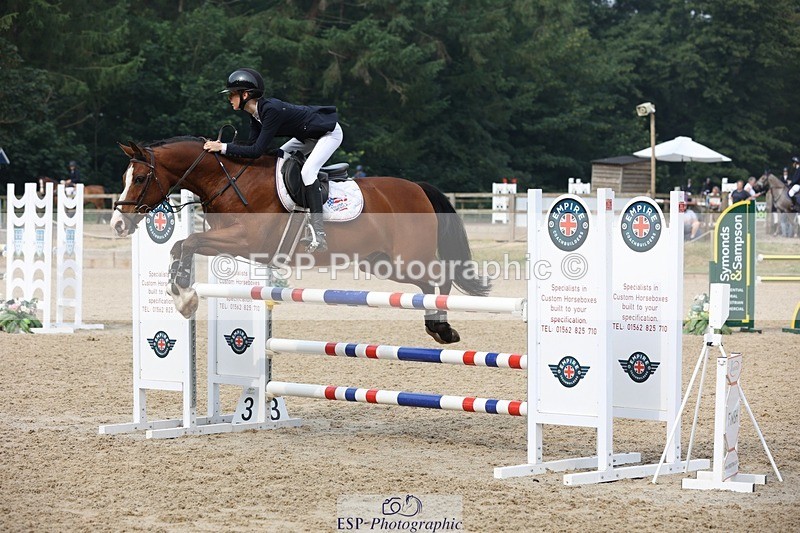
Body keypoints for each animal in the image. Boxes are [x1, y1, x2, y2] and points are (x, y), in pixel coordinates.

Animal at [110, 136, 490, 344]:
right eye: (125, 177)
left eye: (140, 178)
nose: (118, 224)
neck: (229, 180)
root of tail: (418, 188)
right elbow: (182, 246)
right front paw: (181, 295)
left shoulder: (245, 240)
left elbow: (187, 243)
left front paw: (185, 298)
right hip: (383, 263)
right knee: (427, 284)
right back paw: (436, 327)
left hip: (407, 258)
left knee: (440, 277)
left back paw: (443, 329)